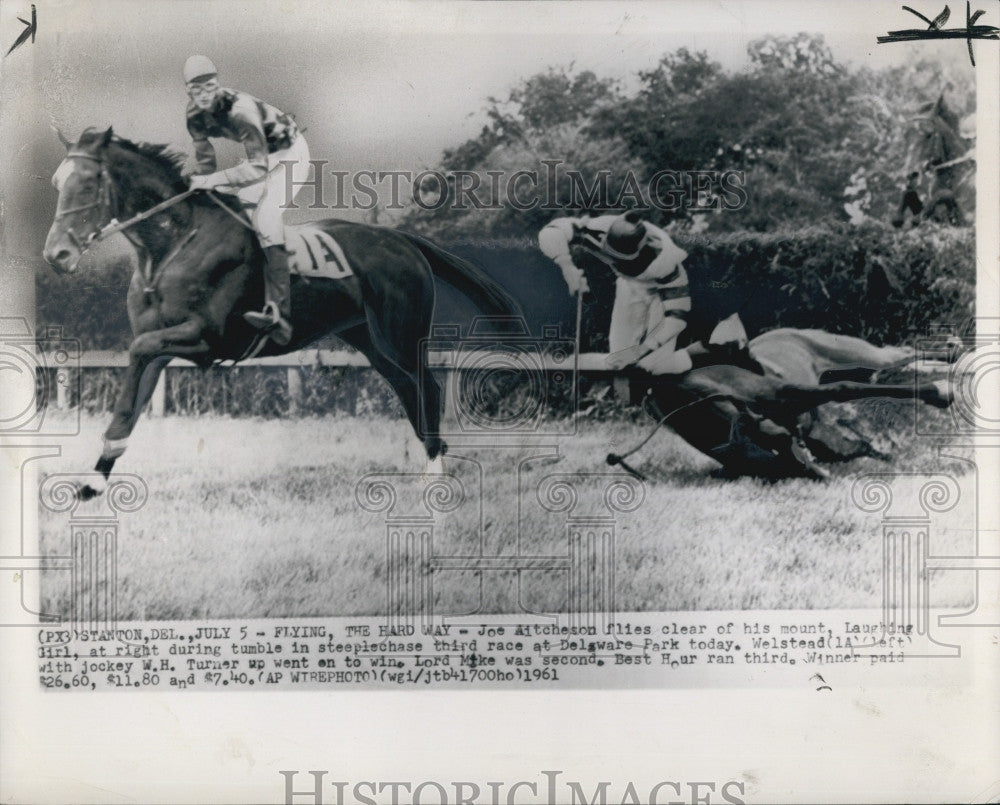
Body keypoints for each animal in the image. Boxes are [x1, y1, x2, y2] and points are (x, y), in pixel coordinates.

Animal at [43, 125, 520, 496]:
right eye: (57, 182)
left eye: (88, 182)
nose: (56, 254)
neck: (173, 245)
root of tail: (401, 240)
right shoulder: (164, 343)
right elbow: (130, 401)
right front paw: (96, 478)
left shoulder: (208, 338)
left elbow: (138, 353)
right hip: (370, 341)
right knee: (408, 389)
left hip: (403, 334)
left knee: (429, 388)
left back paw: (435, 473)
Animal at [608, 326, 952, 478]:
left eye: (707, 403)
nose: (775, 434)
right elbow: (855, 449)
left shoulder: (790, 393)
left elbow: (844, 388)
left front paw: (939, 393)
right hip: (863, 365)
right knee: (897, 362)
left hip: (858, 354)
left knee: (899, 354)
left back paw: (950, 358)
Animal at [892, 92, 976, 228]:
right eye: (905, 136)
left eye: (929, 134)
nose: (910, 176)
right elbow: (910, 194)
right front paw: (898, 218)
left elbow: (943, 194)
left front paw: (920, 216)